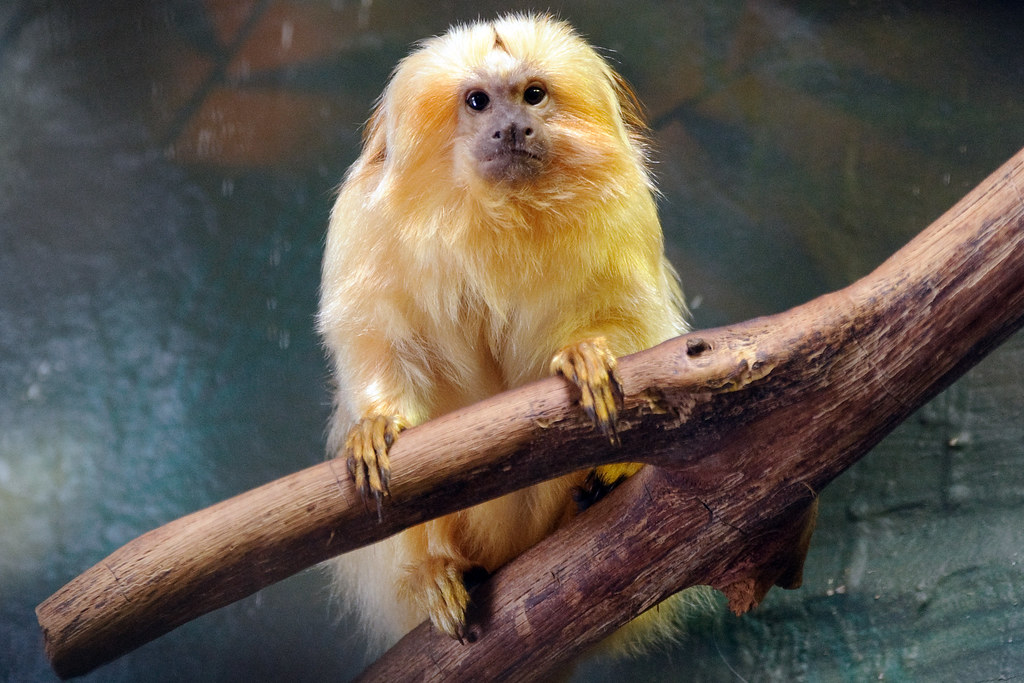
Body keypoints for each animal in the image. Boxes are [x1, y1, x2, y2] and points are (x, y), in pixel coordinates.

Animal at [318, 13, 691, 654]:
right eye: (478, 101)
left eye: (532, 94)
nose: (513, 127)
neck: (497, 212)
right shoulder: (367, 227)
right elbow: (376, 339)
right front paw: (376, 424)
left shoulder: (623, 214)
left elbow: (632, 318)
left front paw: (587, 356)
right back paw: (436, 572)